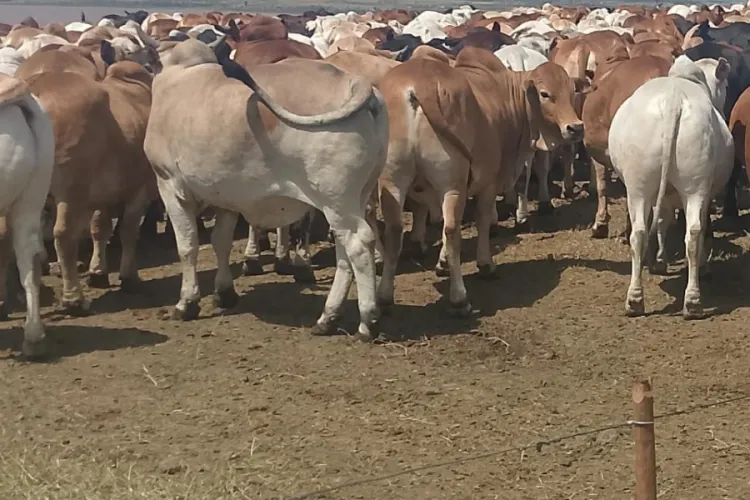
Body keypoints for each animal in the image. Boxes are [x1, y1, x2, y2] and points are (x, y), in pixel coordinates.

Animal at [145, 39, 388, 341]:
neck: (178, 75)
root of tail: (357, 82)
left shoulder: (169, 184)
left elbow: (187, 247)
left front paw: (186, 303)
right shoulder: (224, 195)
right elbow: (220, 242)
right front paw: (224, 293)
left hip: (337, 201)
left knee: (358, 244)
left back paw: (367, 321)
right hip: (353, 198)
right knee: (345, 253)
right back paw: (328, 318)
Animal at [376, 47, 584, 315]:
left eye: (571, 91)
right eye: (545, 94)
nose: (576, 128)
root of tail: (419, 84)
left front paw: (441, 262)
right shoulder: (488, 183)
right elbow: (483, 221)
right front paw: (485, 264)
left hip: (391, 183)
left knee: (394, 231)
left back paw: (383, 297)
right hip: (452, 185)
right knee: (452, 230)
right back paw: (460, 298)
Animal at [609, 56, 733, 319]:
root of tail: (673, 101)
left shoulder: (665, 195)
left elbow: (662, 221)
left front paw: (659, 260)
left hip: (639, 184)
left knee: (641, 233)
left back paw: (636, 300)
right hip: (696, 184)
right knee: (695, 231)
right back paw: (693, 299)